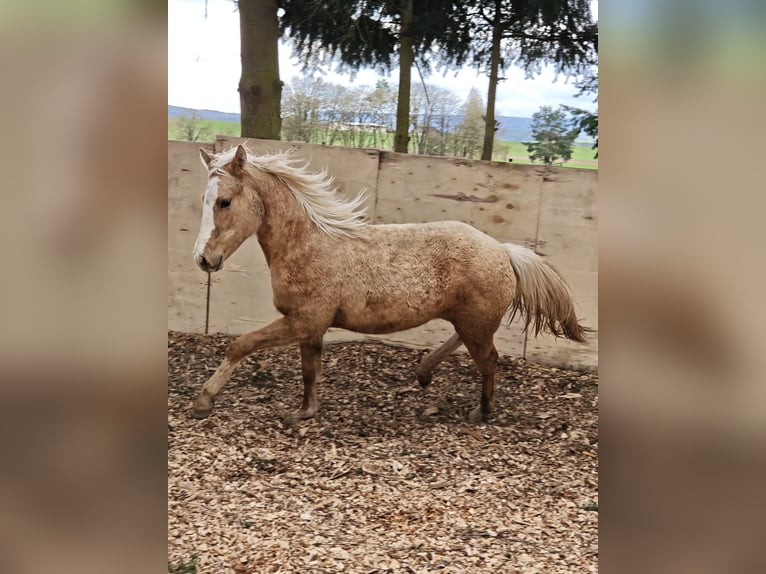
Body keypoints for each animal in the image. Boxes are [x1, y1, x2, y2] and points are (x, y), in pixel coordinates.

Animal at [191, 144, 592, 423]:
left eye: (224, 201)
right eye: (204, 200)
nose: (203, 260)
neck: (306, 244)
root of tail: (503, 251)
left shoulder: (303, 320)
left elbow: (241, 344)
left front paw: (203, 401)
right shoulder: (310, 326)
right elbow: (309, 371)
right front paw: (304, 412)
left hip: (476, 324)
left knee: (489, 359)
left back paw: (482, 411)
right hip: (469, 319)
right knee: (464, 342)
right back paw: (425, 372)